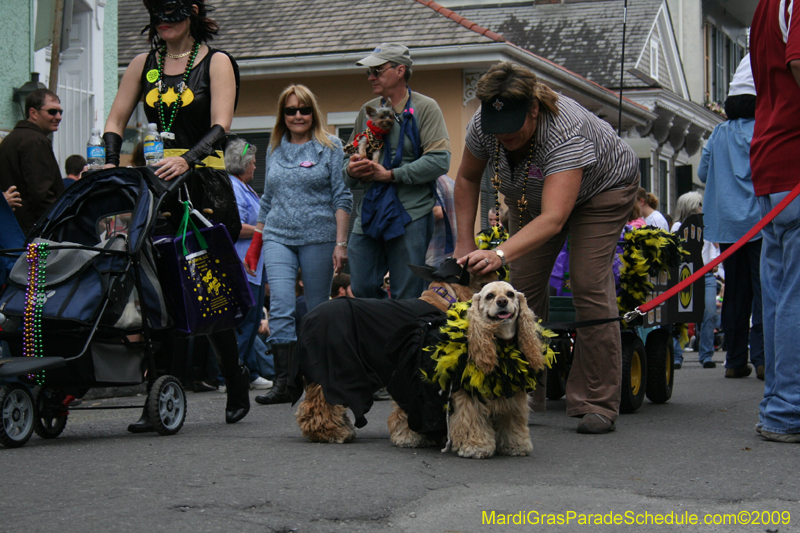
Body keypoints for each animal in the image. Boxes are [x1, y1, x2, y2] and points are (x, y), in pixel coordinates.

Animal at [390, 280, 552, 460]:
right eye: (489, 296)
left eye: (510, 294)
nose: (502, 301)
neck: (500, 343)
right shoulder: (470, 397)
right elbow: (472, 422)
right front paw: (476, 447)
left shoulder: (514, 397)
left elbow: (513, 422)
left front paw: (516, 446)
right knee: (402, 410)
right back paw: (407, 437)